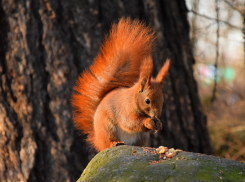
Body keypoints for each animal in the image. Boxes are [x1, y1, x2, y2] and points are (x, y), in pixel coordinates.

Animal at [72, 17, 169, 151]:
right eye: (147, 101)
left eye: (162, 100)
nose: (156, 116)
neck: (133, 99)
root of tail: (97, 140)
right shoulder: (125, 110)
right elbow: (130, 123)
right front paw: (148, 122)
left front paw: (159, 124)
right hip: (107, 128)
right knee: (109, 141)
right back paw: (115, 143)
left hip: (141, 137)